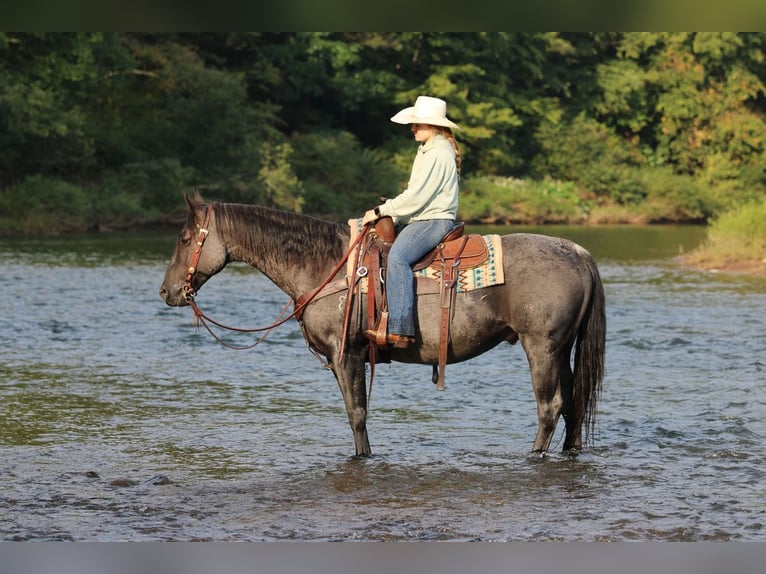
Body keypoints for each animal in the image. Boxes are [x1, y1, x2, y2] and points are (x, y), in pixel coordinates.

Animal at [160, 193, 606, 457]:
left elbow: (356, 413)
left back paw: (533, 454)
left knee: (550, 406)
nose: (167, 292)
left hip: (541, 347)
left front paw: (363, 457)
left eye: (184, 239)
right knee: (574, 404)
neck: (326, 266)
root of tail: (578, 252)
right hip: (562, 349)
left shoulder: (348, 355)